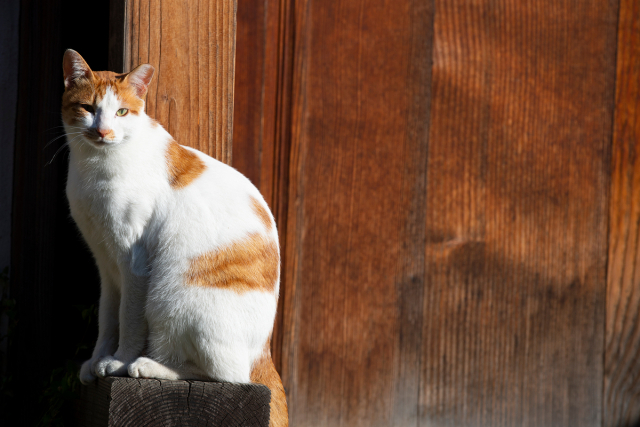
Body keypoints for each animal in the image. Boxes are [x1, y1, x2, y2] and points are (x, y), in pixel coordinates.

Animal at [62, 48, 288, 426]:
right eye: (88, 109)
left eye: (121, 112)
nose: (103, 131)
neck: (94, 164)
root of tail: (265, 354)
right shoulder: (106, 265)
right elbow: (107, 318)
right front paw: (95, 362)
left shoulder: (134, 262)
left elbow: (128, 319)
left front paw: (119, 361)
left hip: (172, 298)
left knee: (227, 375)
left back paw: (148, 365)